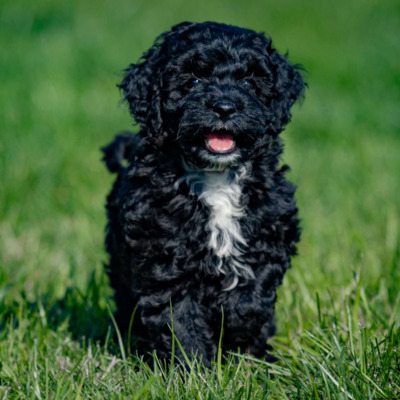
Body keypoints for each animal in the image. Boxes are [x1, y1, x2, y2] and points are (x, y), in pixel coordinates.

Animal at [102, 21, 304, 366]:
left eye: (249, 81)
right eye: (194, 80)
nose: (224, 107)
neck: (216, 177)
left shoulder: (270, 235)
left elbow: (252, 300)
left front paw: (236, 328)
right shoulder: (164, 256)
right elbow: (179, 318)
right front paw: (194, 369)